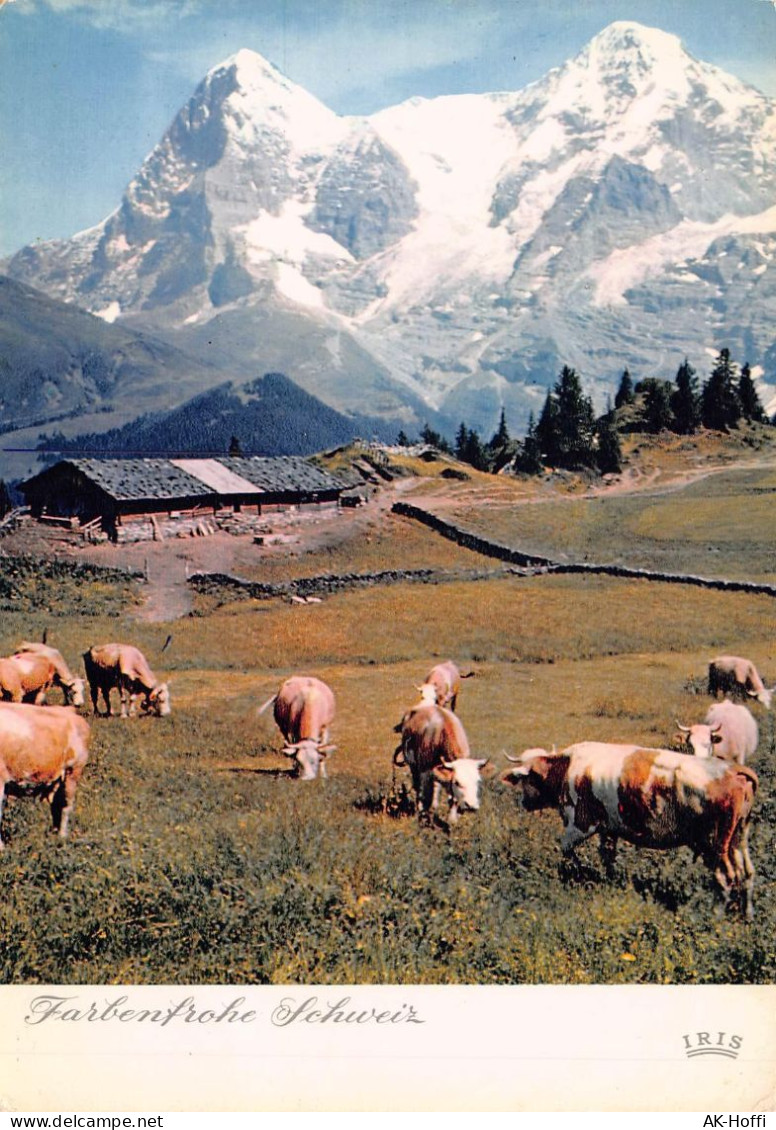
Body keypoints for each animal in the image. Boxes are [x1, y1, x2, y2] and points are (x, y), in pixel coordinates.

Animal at [0, 700, 90, 845]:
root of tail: (70, 711)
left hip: (73, 772)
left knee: (66, 806)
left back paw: (62, 837)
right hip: (57, 779)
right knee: (56, 805)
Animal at [503, 741, 759, 917]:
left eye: (526, 779)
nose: (524, 803)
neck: (567, 768)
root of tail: (732, 769)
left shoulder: (581, 824)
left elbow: (566, 849)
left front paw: (578, 874)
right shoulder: (608, 829)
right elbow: (607, 856)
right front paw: (608, 881)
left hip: (713, 844)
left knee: (726, 878)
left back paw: (716, 915)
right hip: (738, 838)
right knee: (746, 873)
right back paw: (745, 914)